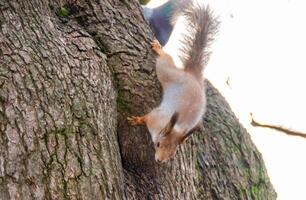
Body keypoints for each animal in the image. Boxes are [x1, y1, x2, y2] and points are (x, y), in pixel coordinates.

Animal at [128, 0, 219, 162]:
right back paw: (159, 50)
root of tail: (192, 75)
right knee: (165, 59)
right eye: (158, 144)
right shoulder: (154, 117)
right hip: (166, 71)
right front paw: (137, 120)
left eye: (172, 155)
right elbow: (146, 117)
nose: (160, 160)